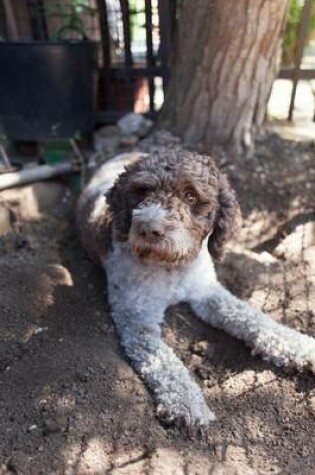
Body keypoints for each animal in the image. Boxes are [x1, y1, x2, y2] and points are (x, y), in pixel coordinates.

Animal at [78, 150, 315, 436]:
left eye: (191, 195)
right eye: (142, 191)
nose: (149, 229)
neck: (172, 267)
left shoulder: (207, 292)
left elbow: (251, 316)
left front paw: (301, 347)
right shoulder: (136, 317)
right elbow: (164, 362)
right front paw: (188, 404)